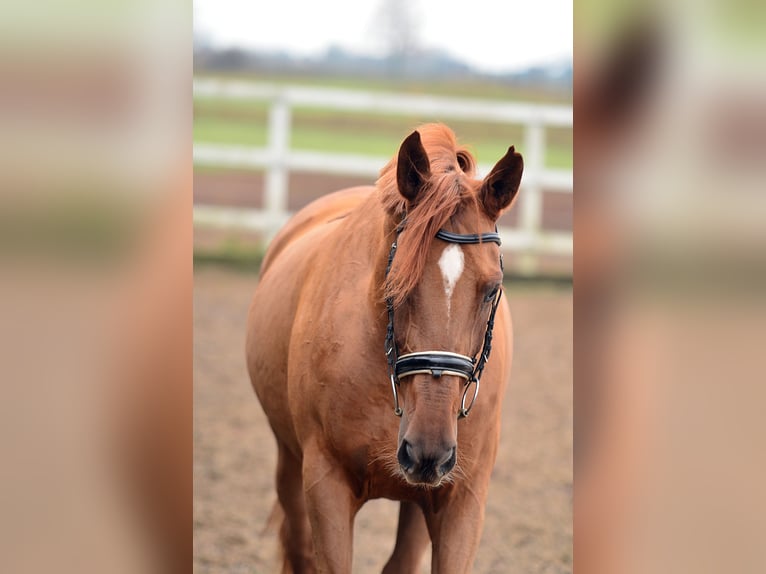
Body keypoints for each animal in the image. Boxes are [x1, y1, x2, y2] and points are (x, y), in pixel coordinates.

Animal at [249, 124, 524, 572]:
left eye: (491, 290)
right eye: (396, 284)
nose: (428, 449)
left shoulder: (462, 498)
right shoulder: (326, 484)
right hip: (289, 458)